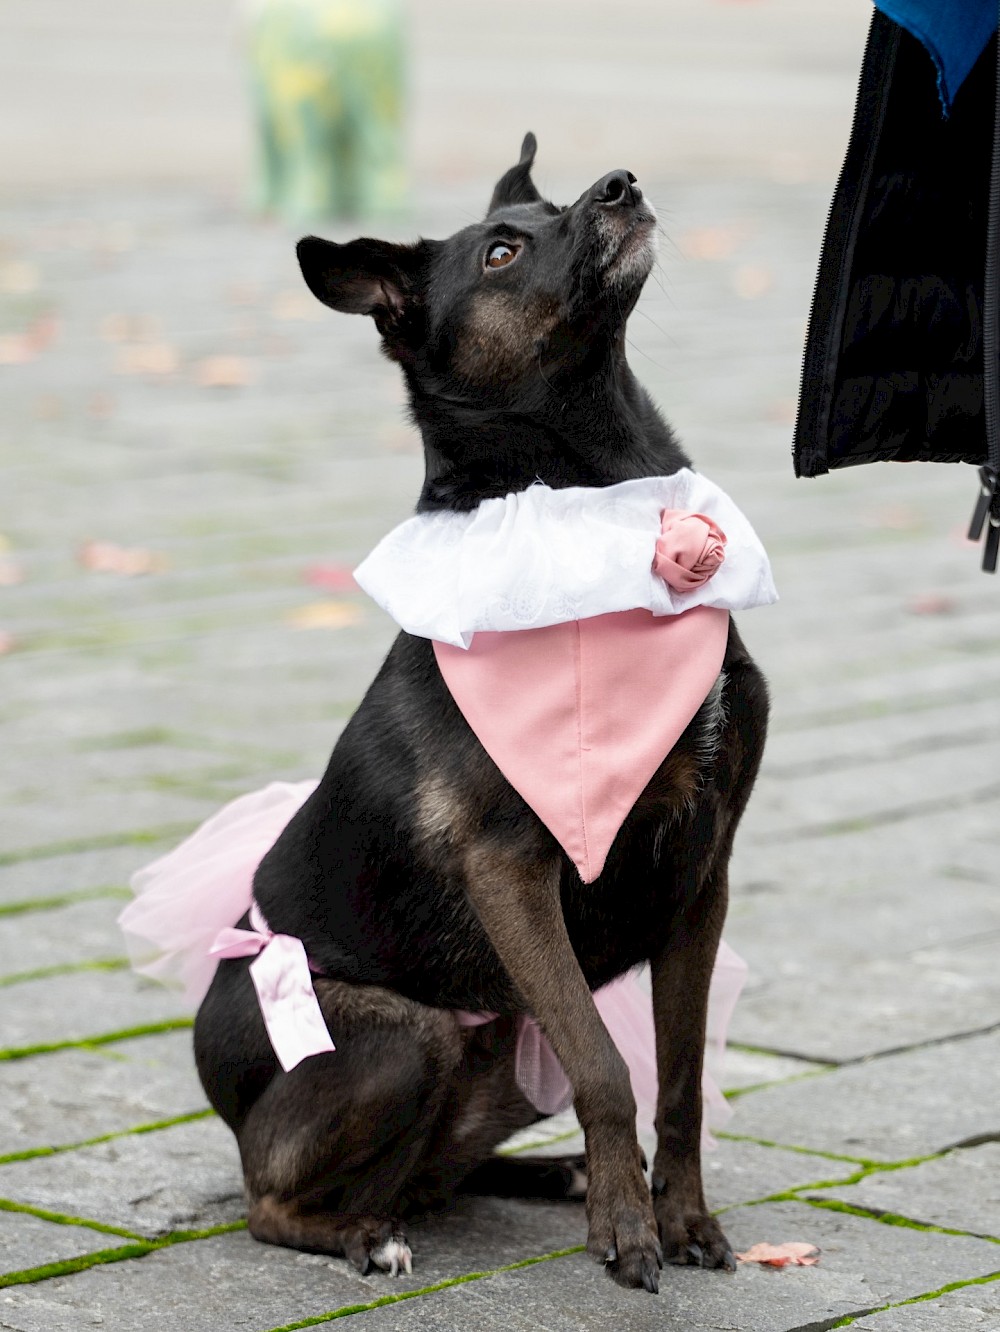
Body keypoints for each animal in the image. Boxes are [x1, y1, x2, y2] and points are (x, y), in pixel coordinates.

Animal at [193, 132, 766, 1289]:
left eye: (552, 211)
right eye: (503, 250)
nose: (620, 186)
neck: (601, 500)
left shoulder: (702, 874)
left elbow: (679, 1078)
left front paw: (678, 1216)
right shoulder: (512, 869)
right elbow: (608, 1067)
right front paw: (628, 1231)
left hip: (498, 1041)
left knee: (437, 1172)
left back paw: (550, 1175)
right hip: (407, 1037)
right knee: (275, 1201)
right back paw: (367, 1238)